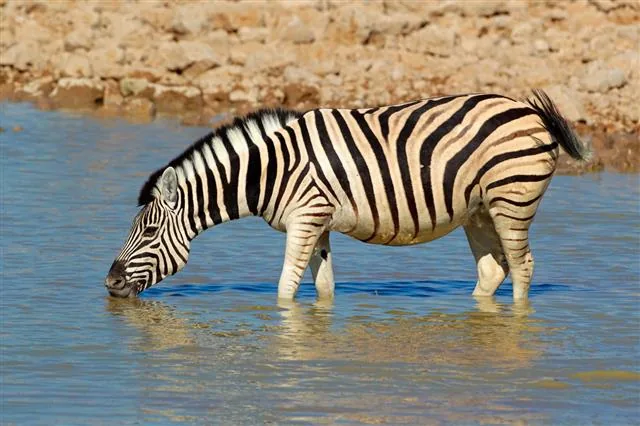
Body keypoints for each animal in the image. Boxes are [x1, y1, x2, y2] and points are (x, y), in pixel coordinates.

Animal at [105, 90, 590, 301]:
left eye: (149, 232)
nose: (109, 285)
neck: (273, 169)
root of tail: (529, 110)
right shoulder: (317, 223)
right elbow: (323, 286)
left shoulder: (305, 218)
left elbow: (285, 287)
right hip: (479, 211)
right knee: (493, 270)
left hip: (513, 200)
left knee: (523, 268)